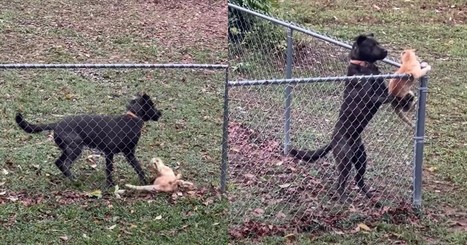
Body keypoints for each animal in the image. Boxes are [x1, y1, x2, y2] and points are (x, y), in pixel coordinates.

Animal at [15, 92, 163, 188]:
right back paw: (75, 180)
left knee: (59, 162)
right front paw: (109, 185)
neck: (132, 118)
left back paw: (71, 179)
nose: (160, 113)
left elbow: (138, 167)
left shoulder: (129, 153)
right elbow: (109, 170)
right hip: (75, 148)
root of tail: (56, 124)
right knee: (65, 164)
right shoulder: (109, 153)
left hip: (69, 149)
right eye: (152, 105)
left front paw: (144, 182)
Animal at [290, 33, 414, 202]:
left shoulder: (381, 88)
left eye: (378, 43)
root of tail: (332, 141)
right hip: (345, 159)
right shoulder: (371, 97)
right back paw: (343, 198)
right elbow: (389, 96)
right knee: (341, 182)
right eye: (372, 45)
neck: (365, 66)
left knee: (358, 179)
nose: (385, 51)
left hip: (361, 157)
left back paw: (369, 195)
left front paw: (406, 99)